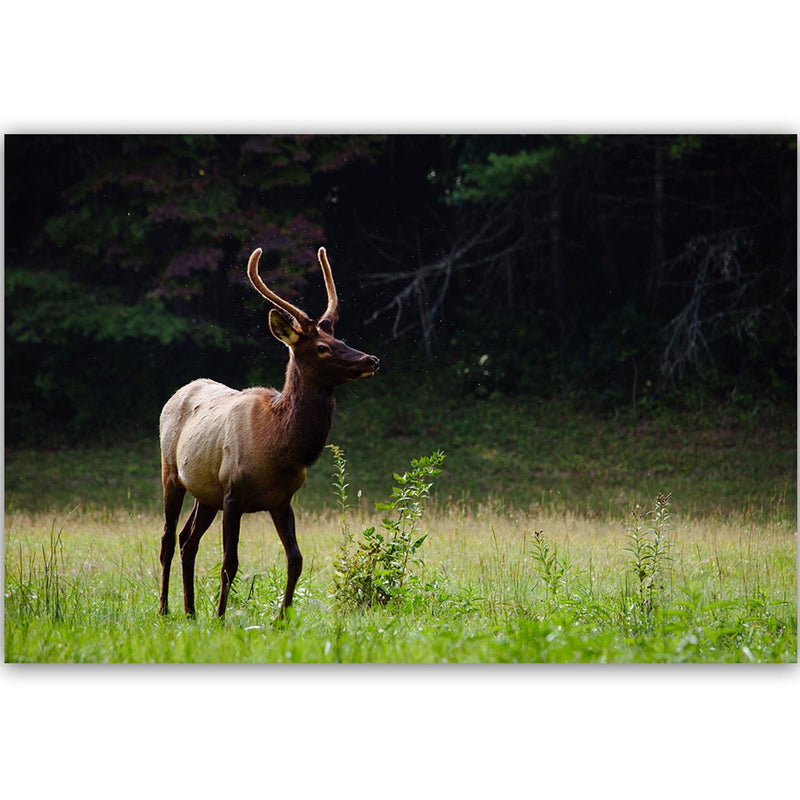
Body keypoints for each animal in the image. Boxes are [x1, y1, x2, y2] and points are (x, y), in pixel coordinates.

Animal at [160, 247, 382, 620]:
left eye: (340, 339)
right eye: (322, 347)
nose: (371, 360)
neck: (279, 447)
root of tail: (177, 392)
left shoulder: (282, 499)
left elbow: (296, 559)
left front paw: (283, 617)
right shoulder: (233, 493)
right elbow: (229, 563)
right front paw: (221, 617)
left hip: (206, 494)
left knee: (187, 540)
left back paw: (190, 611)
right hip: (172, 473)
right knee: (166, 540)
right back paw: (164, 608)